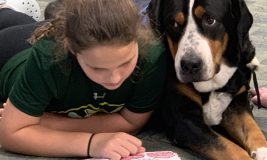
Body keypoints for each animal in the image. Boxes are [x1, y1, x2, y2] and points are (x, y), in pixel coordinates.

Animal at [148, 0, 267, 159]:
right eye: (173, 23)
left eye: (210, 20)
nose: (190, 65)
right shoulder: (185, 121)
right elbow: (229, 147)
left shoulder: (237, 105)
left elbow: (252, 128)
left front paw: (263, 151)